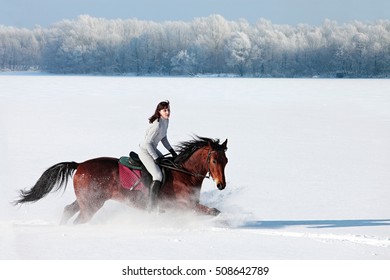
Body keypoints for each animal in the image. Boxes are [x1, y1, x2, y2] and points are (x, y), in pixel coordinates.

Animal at [14, 137, 229, 224]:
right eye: (214, 160)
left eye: (226, 161)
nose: (221, 185)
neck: (183, 173)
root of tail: (80, 165)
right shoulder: (184, 205)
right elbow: (213, 211)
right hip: (92, 204)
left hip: (86, 200)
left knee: (68, 210)